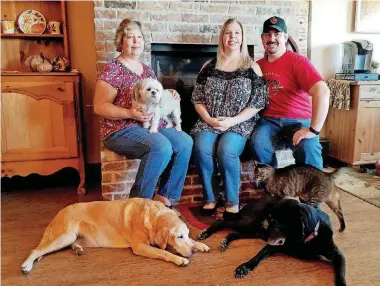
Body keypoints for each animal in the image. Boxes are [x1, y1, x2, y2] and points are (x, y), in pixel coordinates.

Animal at [21, 198, 209, 274]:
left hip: (72, 237)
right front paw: (180, 259)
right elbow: (164, 251)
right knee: (35, 250)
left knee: (70, 244)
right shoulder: (140, 247)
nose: (193, 252)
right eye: (179, 237)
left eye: (186, 234)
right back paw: (27, 265)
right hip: (64, 236)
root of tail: (58, 213)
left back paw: (78, 249)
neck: (152, 216)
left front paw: (200, 245)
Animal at [197, 196, 346, 284]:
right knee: (222, 222)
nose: (266, 228)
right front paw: (245, 267)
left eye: (278, 223)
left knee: (234, 234)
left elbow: (341, 273)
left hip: (255, 231)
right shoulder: (273, 245)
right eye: (270, 219)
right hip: (251, 224)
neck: (304, 240)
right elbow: (259, 255)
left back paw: (224, 242)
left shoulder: (336, 253)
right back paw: (206, 233)